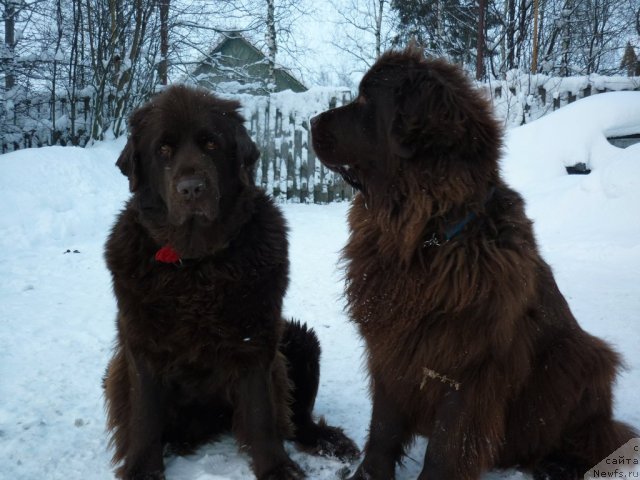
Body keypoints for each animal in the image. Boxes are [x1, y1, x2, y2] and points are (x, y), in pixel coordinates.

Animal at [102, 86, 358, 480]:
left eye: (211, 144)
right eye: (163, 149)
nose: (192, 188)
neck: (195, 265)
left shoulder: (255, 341)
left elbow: (262, 414)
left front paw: (276, 469)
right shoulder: (141, 343)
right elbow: (144, 416)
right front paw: (143, 469)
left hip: (300, 339)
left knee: (296, 419)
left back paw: (329, 441)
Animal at [310, 46, 636, 480]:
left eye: (364, 100)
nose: (311, 120)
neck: (423, 237)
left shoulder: (468, 361)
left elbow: (449, 443)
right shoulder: (393, 346)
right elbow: (383, 425)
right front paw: (370, 473)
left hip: (577, 358)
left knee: (596, 434)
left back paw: (558, 465)